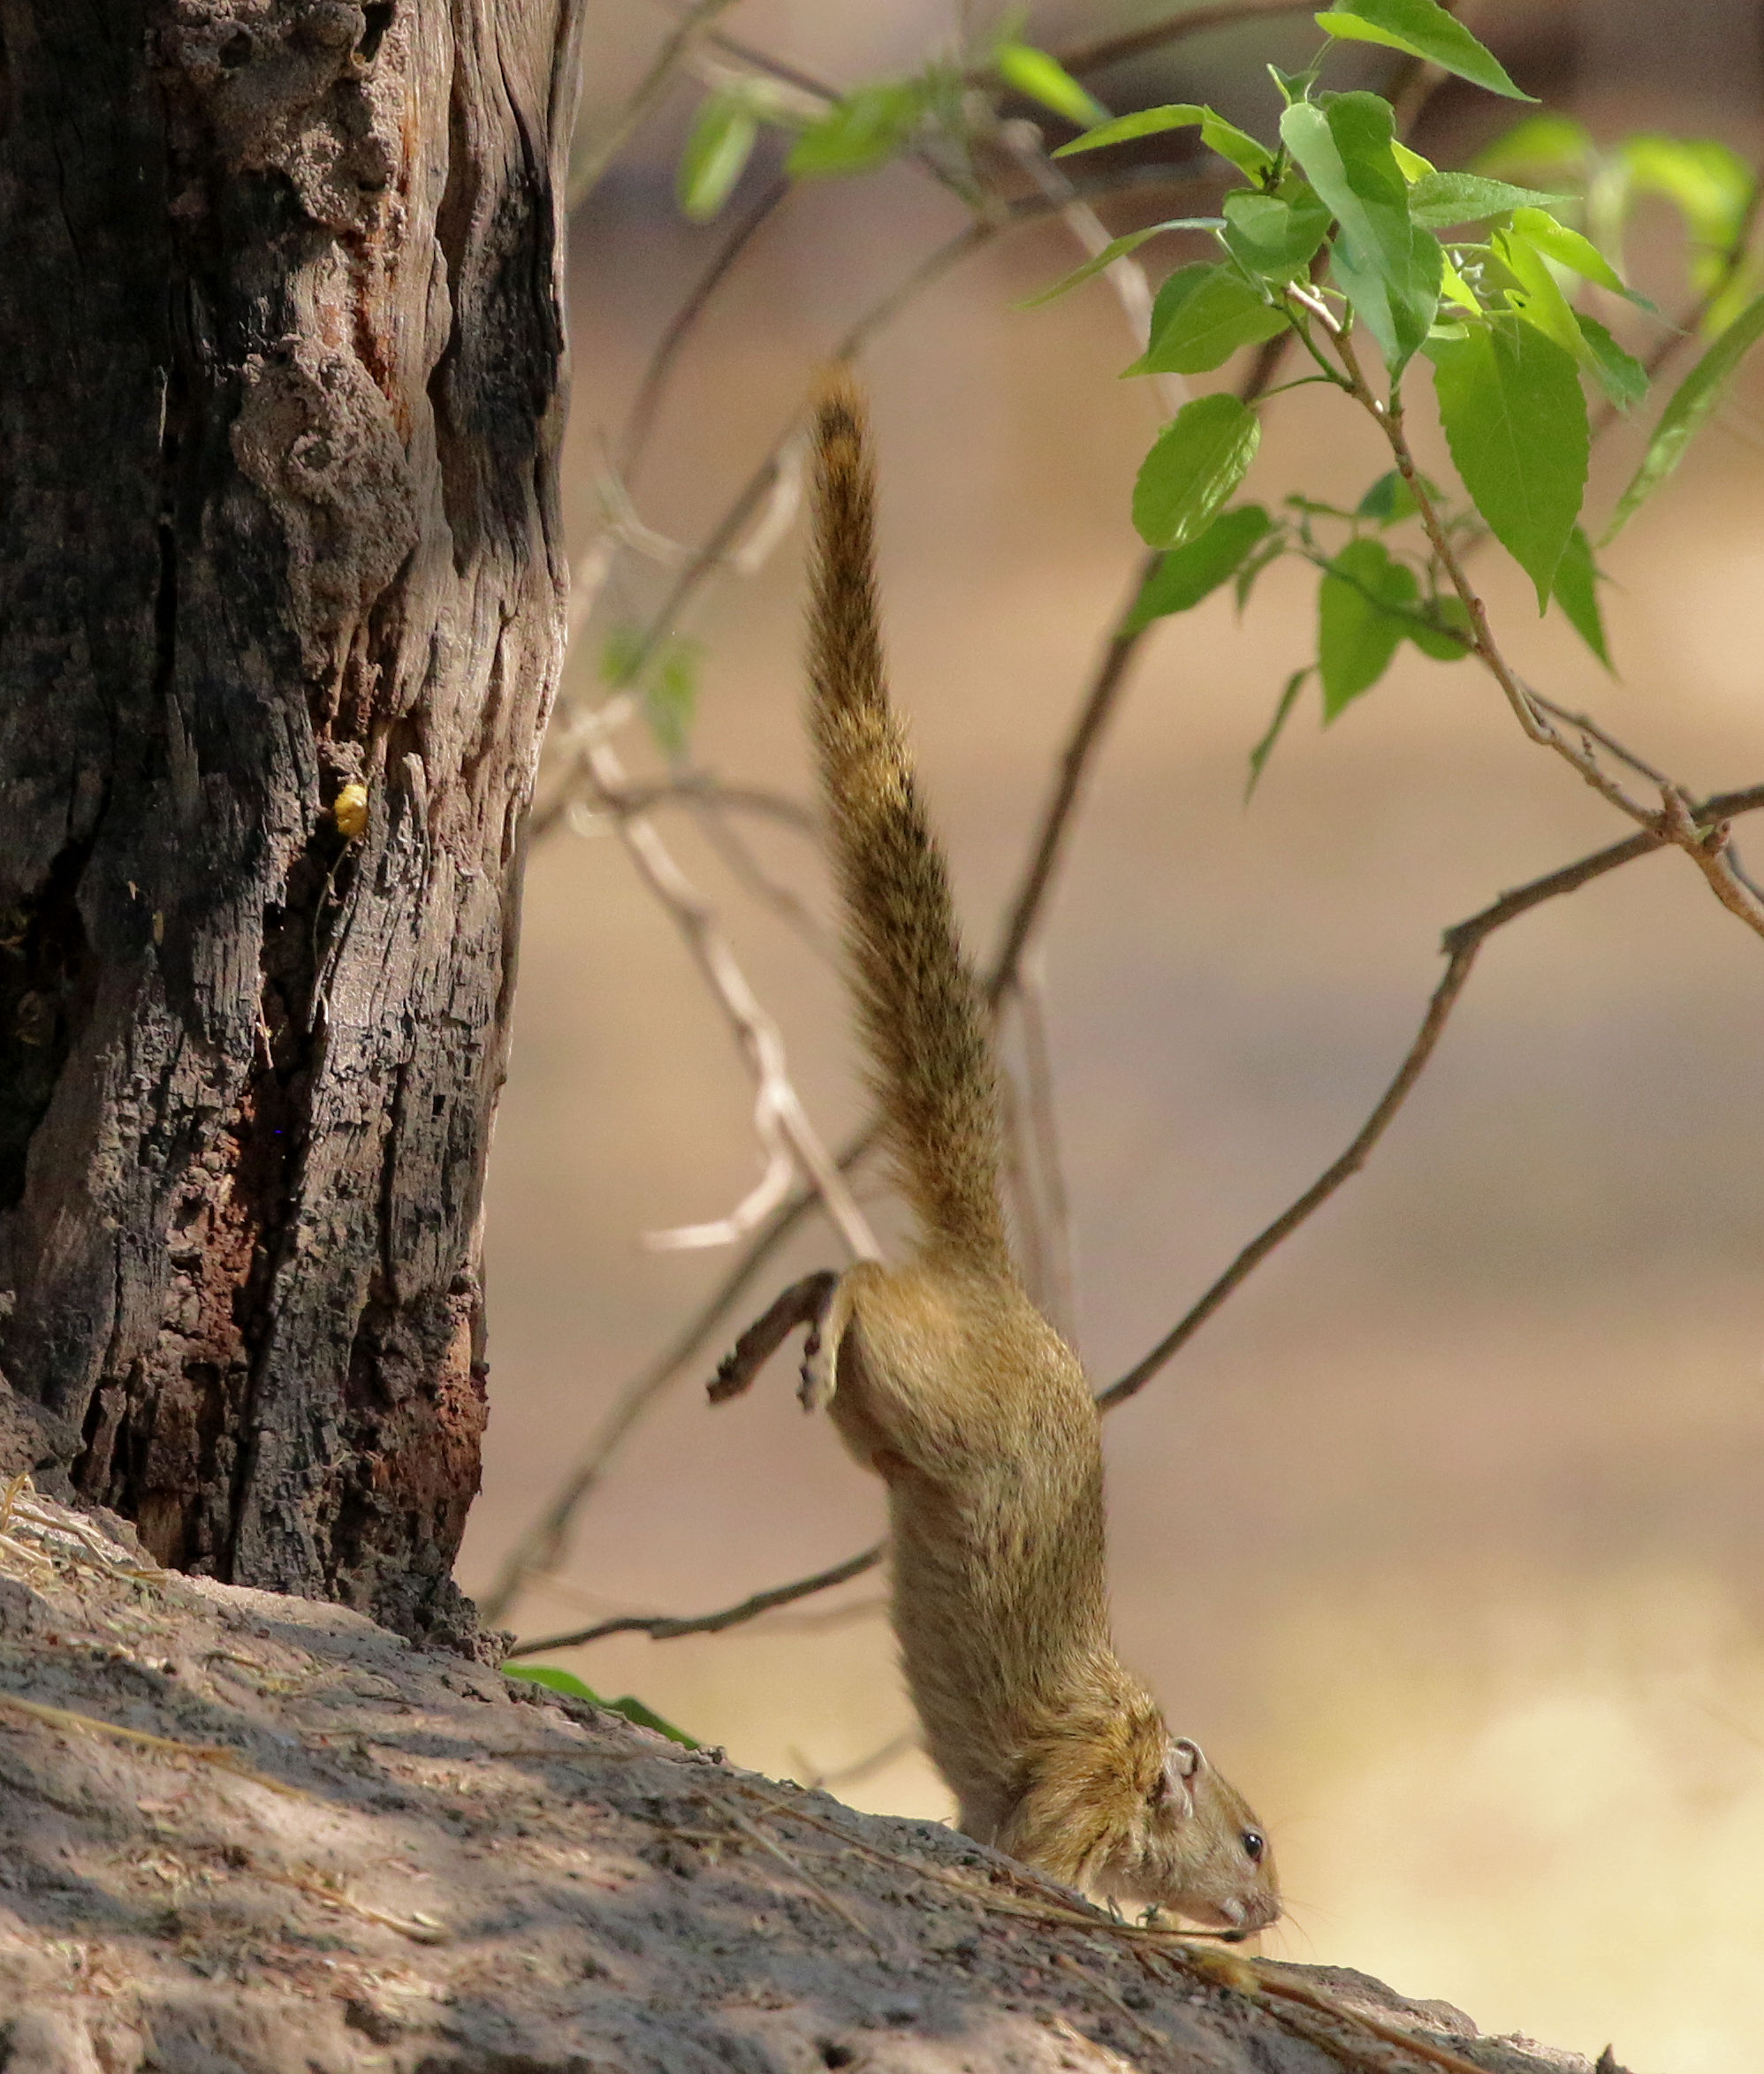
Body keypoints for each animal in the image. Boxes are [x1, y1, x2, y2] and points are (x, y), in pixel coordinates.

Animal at [709, 371, 1279, 1937]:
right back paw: (790, 1338)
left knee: (834, 1280)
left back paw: (759, 1345)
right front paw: (1132, 1909)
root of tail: (994, 1272)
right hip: (936, 1387)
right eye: (1254, 1838)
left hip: (892, 1430)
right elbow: (1052, 1867)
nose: (1273, 1917)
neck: (1141, 1744)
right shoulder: (1067, 1801)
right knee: (859, 1274)